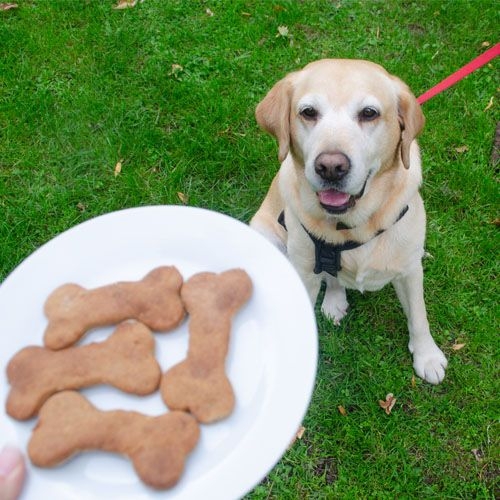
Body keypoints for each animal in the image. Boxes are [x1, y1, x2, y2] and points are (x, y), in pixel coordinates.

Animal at [252, 59, 448, 386]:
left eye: (369, 113)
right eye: (308, 112)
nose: (331, 167)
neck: (352, 225)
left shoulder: (409, 270)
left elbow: (419, 315)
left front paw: (427, 356)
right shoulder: (304, 271)